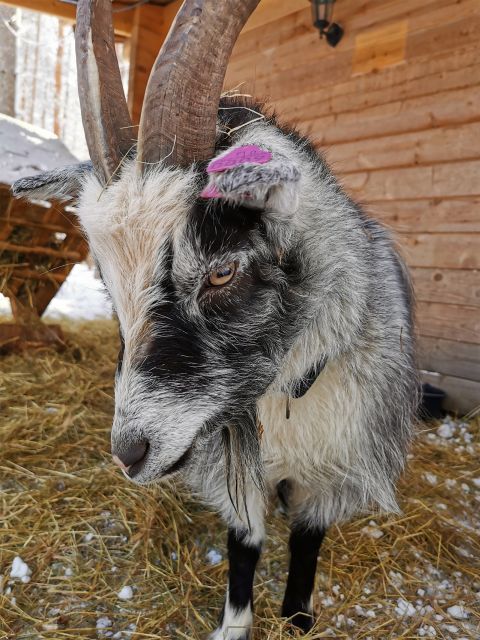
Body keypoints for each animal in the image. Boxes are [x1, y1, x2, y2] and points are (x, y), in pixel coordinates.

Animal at [12, 1, 418, 638]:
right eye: (106, 281)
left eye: (222, 272)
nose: (129, 452)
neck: (283, 392)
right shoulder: (238, 469)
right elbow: (244, 543)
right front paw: (233, 626)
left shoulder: (334, 465)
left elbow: (306, 542)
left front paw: (297, 620)